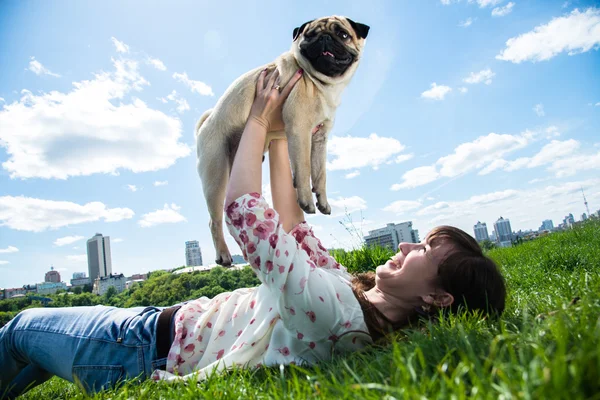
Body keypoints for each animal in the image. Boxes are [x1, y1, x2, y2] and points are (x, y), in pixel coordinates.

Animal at [197, 14, 368, 266]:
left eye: (343, 34)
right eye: (309, 35)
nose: (325, 38)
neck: (321, 83)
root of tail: (207, 122)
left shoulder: (319, 138)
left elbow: (320, 173)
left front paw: (322, 200)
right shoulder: (299, 130)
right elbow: (304, 168)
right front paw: (306, 200)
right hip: (216, 174)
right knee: (214, 219)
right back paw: (224, 255)